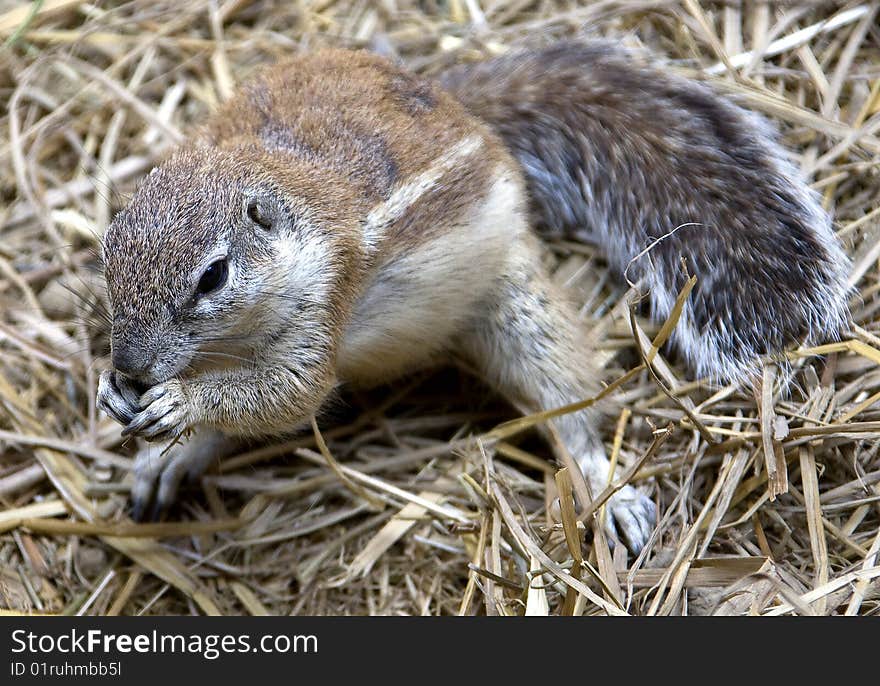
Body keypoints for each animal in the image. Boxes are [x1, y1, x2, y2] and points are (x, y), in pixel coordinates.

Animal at [96, 41, 852, 552]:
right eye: (107, 249)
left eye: (213, 276)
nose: (129, 368)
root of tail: (462, 105)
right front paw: (125, 404)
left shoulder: (322, 307)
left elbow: (288, 393)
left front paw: (180, 405)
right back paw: (164, 464)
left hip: (519, 311)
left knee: (567, 409)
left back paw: (606, 489)